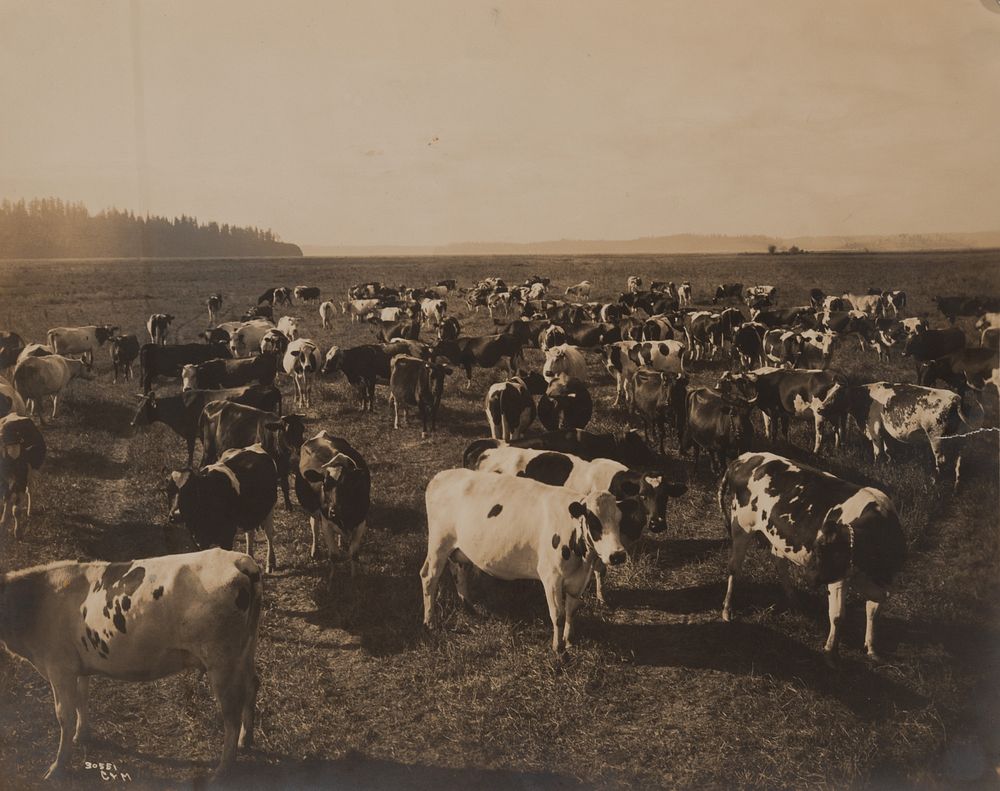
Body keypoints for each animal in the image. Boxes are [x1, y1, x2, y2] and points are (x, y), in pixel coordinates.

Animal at [0, 552, 262, 780]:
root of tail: (239, 560)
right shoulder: (79, 665)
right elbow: (82, 699)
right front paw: (82, 735)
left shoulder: (59, 667)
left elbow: (64, 714)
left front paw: (57, 767)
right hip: (245, 650)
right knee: (253, 685)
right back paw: (246, 739)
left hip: (222, 662)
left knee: (231, 714)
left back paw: (223, 770)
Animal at [131, 384, 284, 464]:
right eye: (137, 405)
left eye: (143, 408)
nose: (132, 423)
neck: (180, 405)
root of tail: (270, 387)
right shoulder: (201, 435)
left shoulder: (191, 433)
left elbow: (191, 452)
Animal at [292, 434, 372, 580]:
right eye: (325, 485)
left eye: (348, 484)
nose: (334, 511)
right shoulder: (326, 524)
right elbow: (334, 555)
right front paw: (332, 578)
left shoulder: (361, 522)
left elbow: (353, 554)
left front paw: (354, 577)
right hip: (313, 511)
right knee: (314, 526)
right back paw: (315, 550)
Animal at [426, 468, 628, 652]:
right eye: (594, 522)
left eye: (620, 520)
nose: (618, 555)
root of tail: (441, 475)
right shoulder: (551, 577)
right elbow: (558, 615)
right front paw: (558, 648)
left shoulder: (579, 579)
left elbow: (572, 610)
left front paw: (569, 641)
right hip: (438, 544)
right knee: (429, 577)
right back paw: (430, 622)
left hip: (460, 550)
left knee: (458, 571)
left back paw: (470, 609)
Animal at [720, 452, 908, 664]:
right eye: (817, 550)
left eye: (822, 552)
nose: (809, 578)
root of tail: (744, 457)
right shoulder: (839, 579)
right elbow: (837, 615)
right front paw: (831, 653)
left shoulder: (882, 585)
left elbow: (873, 612)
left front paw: (872, 649)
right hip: (741, 526)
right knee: (734, 567)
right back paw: (727, 610)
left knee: (778, 561)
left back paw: (794, 600)